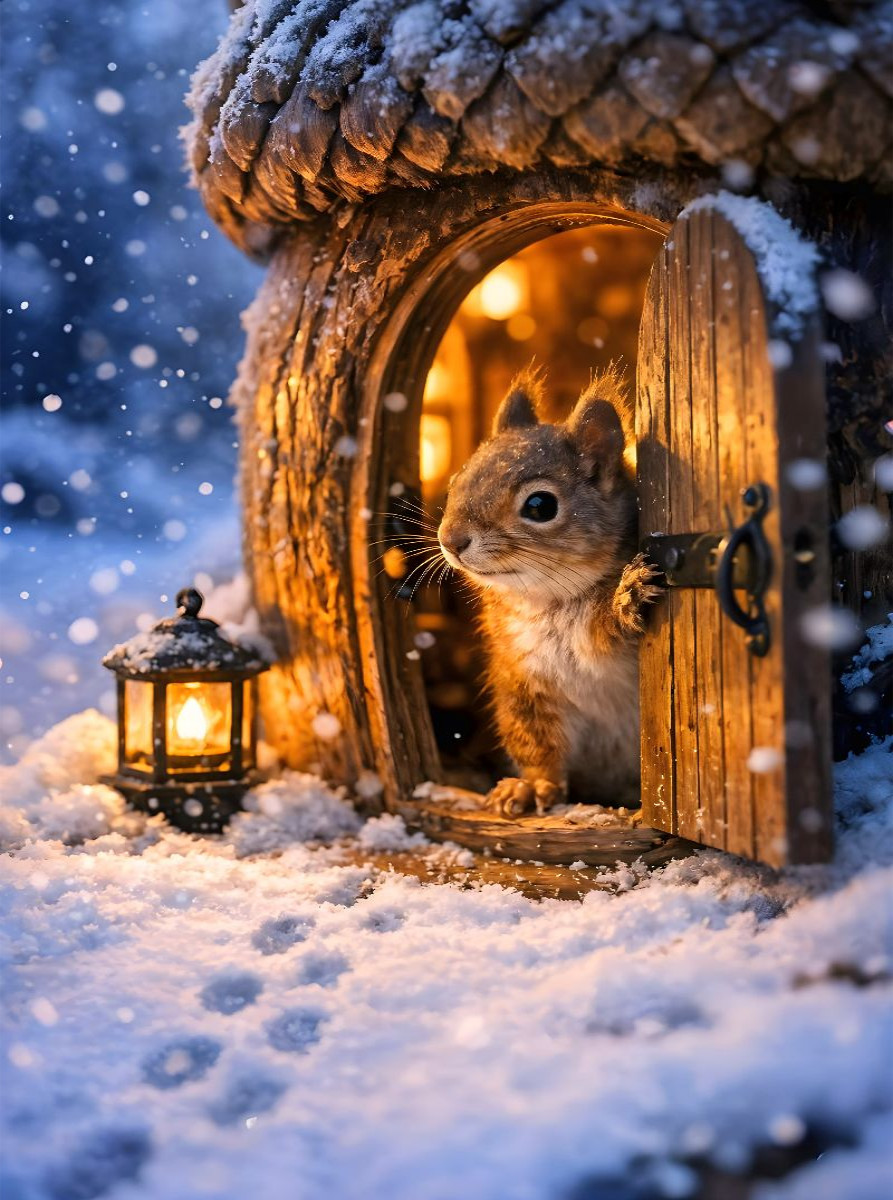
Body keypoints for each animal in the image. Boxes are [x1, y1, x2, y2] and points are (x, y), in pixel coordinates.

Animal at [437, 364, 663, 817]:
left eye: (540, 506)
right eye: (456, 480)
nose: (450, 540)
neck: (549, 601)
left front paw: (627, 596)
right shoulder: (523, 681)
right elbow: (538, 747)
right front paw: (529, 788)